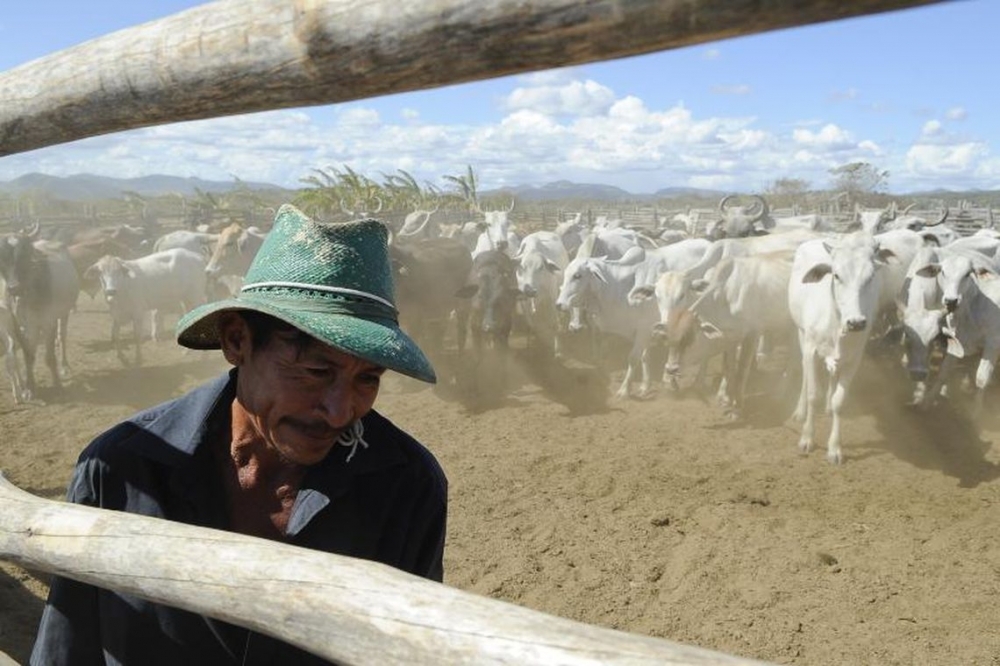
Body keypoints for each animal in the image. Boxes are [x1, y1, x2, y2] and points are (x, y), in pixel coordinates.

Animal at [788, 231, 900, 460]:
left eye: (870, 277)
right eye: (836, 275)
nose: (856, 322)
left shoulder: (853, 358)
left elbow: (840, 401)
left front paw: (834, 448)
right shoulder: (811, 349)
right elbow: (813, 394)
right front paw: (807, 438)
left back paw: (828, 407)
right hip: (801, 333)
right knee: (805, 373)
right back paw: (800, 410)